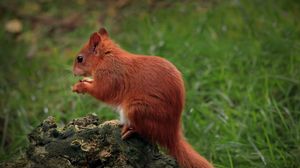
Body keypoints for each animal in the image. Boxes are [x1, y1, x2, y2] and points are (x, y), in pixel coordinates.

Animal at [72, 27, 213, 168]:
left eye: (80, 58)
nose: (73, 72)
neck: (106, 57)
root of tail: (170, 133)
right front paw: (86, 80)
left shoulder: (110, 75)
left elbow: (102, 92)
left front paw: (81, 87)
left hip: (137, 109)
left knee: (146, 131)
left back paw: (130, 130)